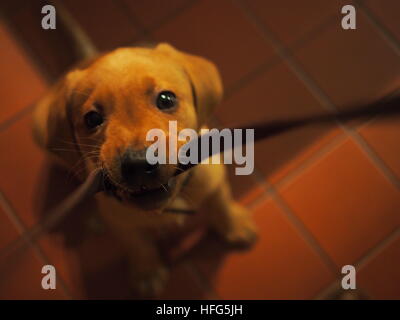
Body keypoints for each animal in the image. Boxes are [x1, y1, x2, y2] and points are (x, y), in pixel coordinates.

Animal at [31, 43, 256, 296]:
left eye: (166, 99)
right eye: (92, 119)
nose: (138, 164)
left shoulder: (214, 178)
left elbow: (221, 202)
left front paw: (235, 226)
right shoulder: (124, 225)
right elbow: (138, 245)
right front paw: (146, 273)